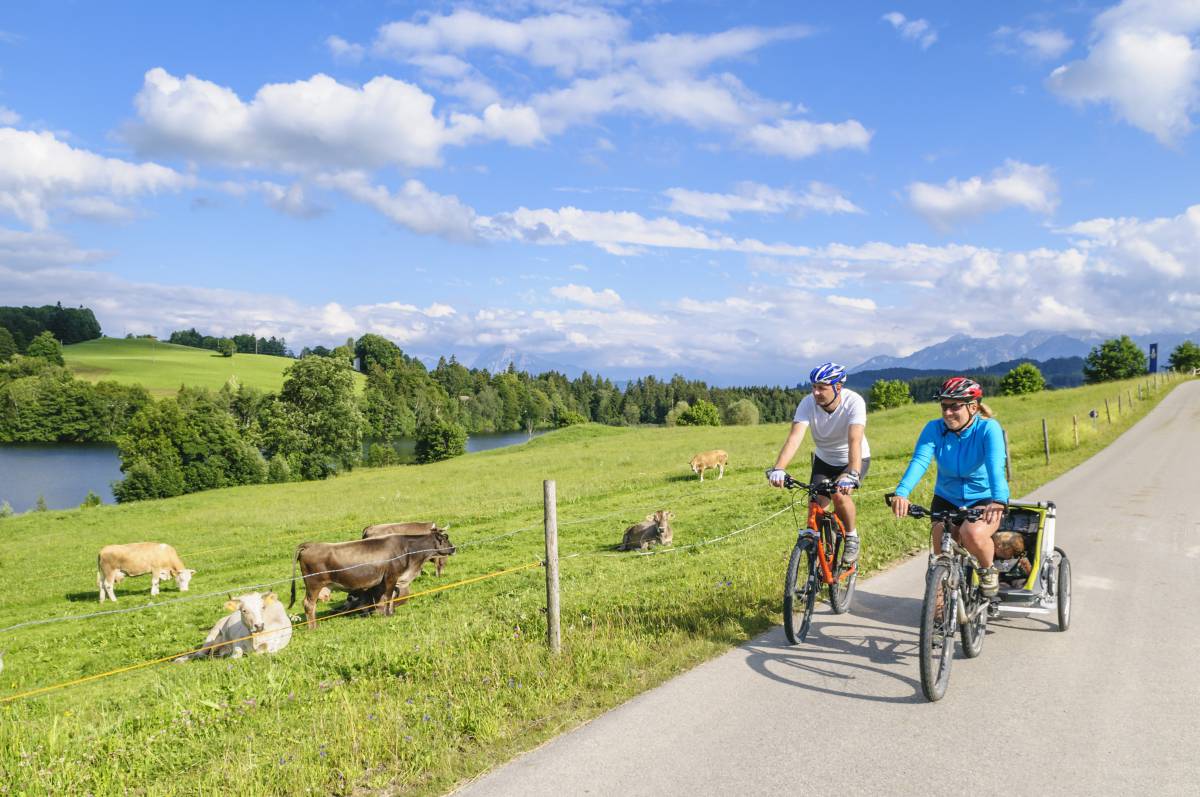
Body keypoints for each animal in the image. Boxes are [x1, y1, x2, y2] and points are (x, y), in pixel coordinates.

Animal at [290, 528, 453, 628]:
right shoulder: (391, 576)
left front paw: (384, 612)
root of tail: (309, 545)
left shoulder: (383, 581)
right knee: (309, 604)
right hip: (313, 584)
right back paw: (313, 627)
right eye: (445, 539)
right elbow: (388, 596)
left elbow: (386, 597)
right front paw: (387, 614)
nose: (454, 548)